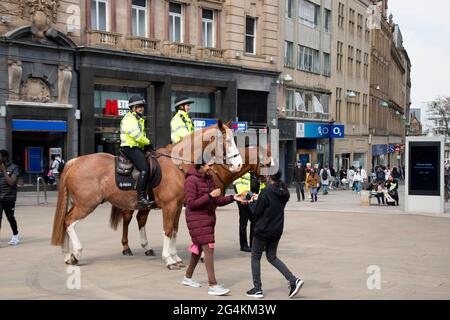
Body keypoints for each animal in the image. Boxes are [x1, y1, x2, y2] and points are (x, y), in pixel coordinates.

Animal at [51, 121, 244, 266]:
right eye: (227, 140)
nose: (238, 164)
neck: (177, 165)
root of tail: (75, 162)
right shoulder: (169, 206)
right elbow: (168, 230)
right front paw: (169, 260)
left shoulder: (177, 206)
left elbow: (174, 230)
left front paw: (175, 257)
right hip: (87, 204)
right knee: (69, 222)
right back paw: (76, 253)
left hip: (80, 203)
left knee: (66, 221)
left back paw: (68, 255)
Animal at [109, 146, 272, 268]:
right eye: (267, 163)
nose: (269, 181)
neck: (215, 171)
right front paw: (202, 254)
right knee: (127, 217)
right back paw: (126, 247)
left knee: (141, 218)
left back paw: (146, 247)